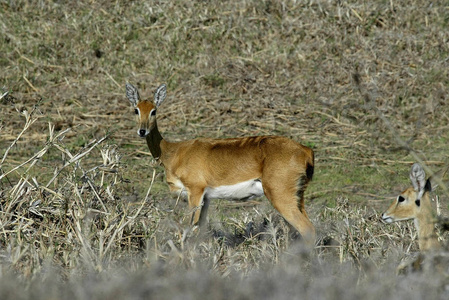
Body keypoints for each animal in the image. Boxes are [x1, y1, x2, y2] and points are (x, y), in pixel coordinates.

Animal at [125, 82, 316, 246]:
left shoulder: (195, 192)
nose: (142, 131)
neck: (173, 152)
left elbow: (189, 229)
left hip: (280, 196)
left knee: (308, 230)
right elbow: (199, 229)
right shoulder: (206, 198)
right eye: (136, 110)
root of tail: (305, 150)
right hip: (298, 197)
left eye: (153, 111)